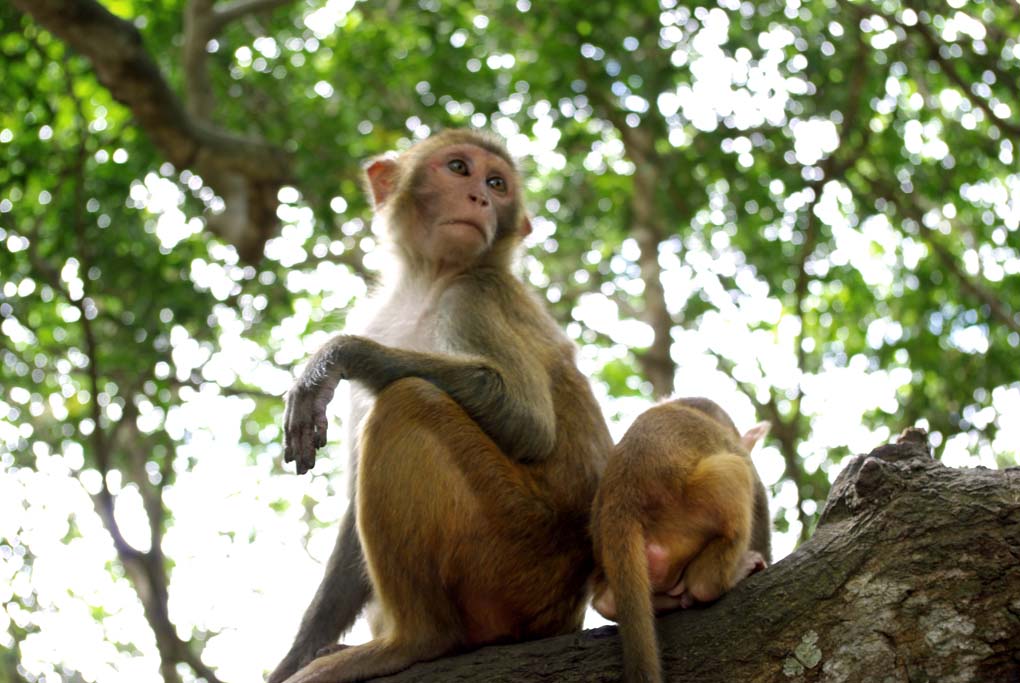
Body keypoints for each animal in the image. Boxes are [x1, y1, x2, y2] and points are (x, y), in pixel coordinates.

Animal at [267, 129, 607, 683]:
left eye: (497, 183)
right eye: (459, 168)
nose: (481, 199)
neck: (429, 282)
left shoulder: (477, 294)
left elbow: (528, 423)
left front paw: (336, 356)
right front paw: (296, 654)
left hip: (513, 556)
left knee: (409, 399)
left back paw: (412, 642)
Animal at [587, 395, 767, 683]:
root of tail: (621, 500)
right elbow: (759, 498)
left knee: (606, 601)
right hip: (691, 507)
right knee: (736, 470)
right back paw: (714, 581)